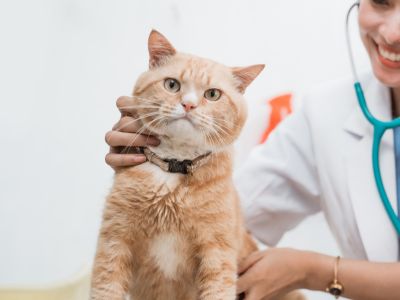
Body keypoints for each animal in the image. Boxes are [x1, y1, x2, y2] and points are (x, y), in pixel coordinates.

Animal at [90, 28, 304, 300]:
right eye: (172, 84)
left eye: (212, 94)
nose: (188, 104)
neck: (173, 171)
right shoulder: (115, 240)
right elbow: (106, 287)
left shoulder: (217, 253)